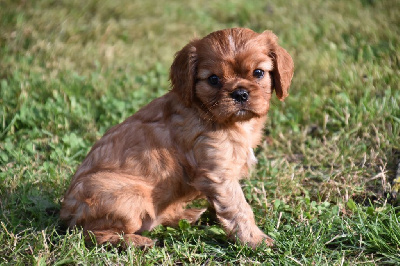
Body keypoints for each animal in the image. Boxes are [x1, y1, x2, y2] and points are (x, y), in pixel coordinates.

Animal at [61, 28, 296, 248]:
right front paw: (254, 240)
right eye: (213, 79)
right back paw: (136, 241)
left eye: (258, 73)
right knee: (91, 234)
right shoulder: (219, 175)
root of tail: (66, 213)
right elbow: (239, 208)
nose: (239, 93)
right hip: (131, 198)